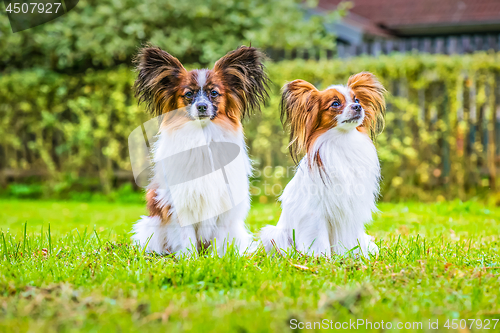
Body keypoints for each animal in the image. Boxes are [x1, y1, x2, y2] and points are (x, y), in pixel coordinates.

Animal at [131, 45, 268, 255]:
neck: (203, 137)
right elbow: (186, 237)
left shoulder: (224, 205)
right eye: (189, 94)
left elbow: (219, 240)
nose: (202, 106)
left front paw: (217, 259)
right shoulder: (179, 204)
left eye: (214, 93)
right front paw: (189, 259)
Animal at [262, 72, 386, 256]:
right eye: (335, 103)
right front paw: (322, 258)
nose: (358, 107)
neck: (343, 140)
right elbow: (319, 240)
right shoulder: (315, 213)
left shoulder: (350, 212)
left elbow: (349, 240)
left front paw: (352, 257)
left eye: (356, 100)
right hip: (275, 235)